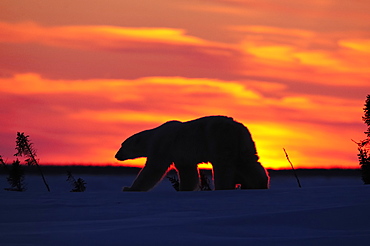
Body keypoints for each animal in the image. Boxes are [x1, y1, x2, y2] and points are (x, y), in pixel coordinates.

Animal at [114, 116, 268, 191]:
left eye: (122, 145)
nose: (116, 155)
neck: (152, 136)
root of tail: (238, 128)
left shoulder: (163, 145)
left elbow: (154, 168)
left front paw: (129, 188)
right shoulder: (182, 156)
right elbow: (187, 171)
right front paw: (185, 189)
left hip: (219, 139)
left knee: (223, 165)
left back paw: (222, 187)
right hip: (244, 142)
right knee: (249, 161)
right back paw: (261, 183)